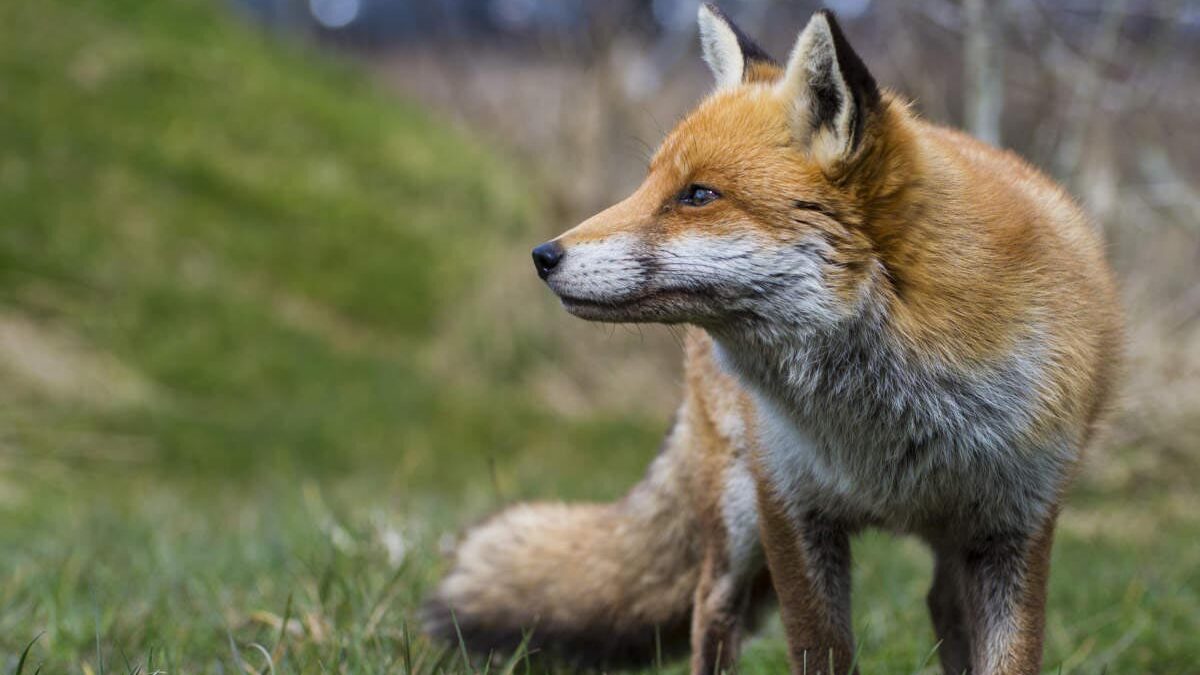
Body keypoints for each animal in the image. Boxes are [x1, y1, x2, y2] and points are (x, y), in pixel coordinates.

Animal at [427, 5, 1118, 672]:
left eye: (697, 195)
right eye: (648, 182)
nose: (543, 256)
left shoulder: (1016, 528)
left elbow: (1009, 659)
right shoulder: (791, 508)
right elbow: (819, 652)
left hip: (947, 547)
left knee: (940, 609)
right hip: (737, 516)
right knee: (710, 612)